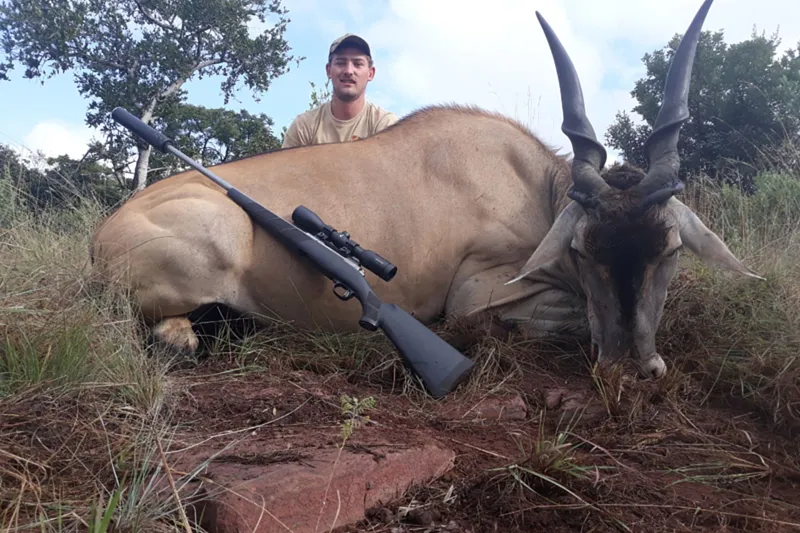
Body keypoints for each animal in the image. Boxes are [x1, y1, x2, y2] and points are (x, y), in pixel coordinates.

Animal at [90, 0, 761, 380]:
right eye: (581, 251)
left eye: (668, 251)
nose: (630, 368)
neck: (535, 190)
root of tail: (104, 236)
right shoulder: (476, 294)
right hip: (219, 235)